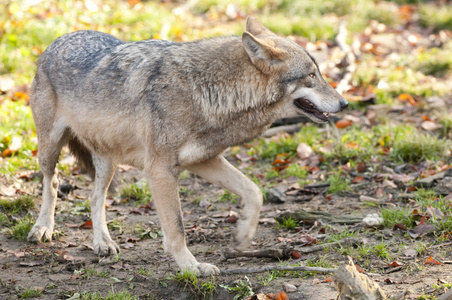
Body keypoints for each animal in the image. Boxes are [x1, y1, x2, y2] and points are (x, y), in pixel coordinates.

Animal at [27, 15, 346, 274]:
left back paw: (103, 243)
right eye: (311, 76)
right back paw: (43, 228)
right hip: (50, 148)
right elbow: (177, 228)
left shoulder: (203, 160)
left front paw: (243, 236)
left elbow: (255, 192)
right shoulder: (161, 171)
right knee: (52, 182)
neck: (207, 90)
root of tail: (58, 40)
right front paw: (192, 267)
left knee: (95, 198)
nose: (344, 103)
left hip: (108, 161)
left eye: (319, 73)